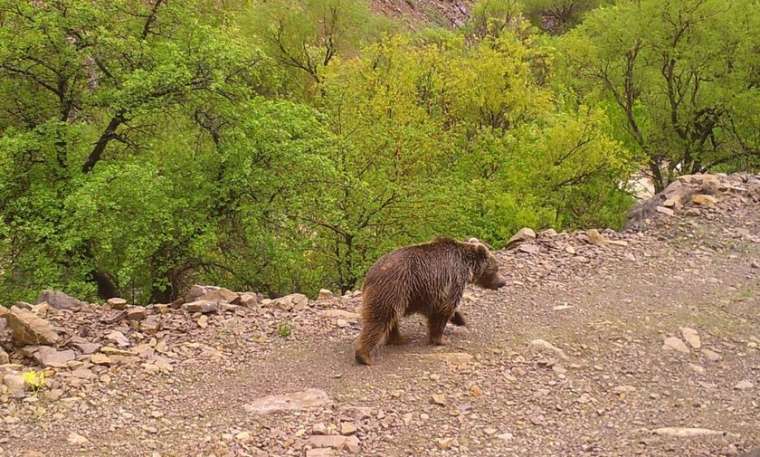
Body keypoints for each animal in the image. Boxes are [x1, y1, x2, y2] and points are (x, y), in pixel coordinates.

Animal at [354, 237, 504, 366]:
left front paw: (461, 320)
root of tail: (369, 275)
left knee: (391, 318)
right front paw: (441, 339)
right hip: (394, 288)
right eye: (496, 267)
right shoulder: (452, 279)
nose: (503, 282)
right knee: (379, 319)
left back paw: (399, 339)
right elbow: (444, 310)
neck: (467, 267)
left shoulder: (433, 292)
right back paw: (364, 356)